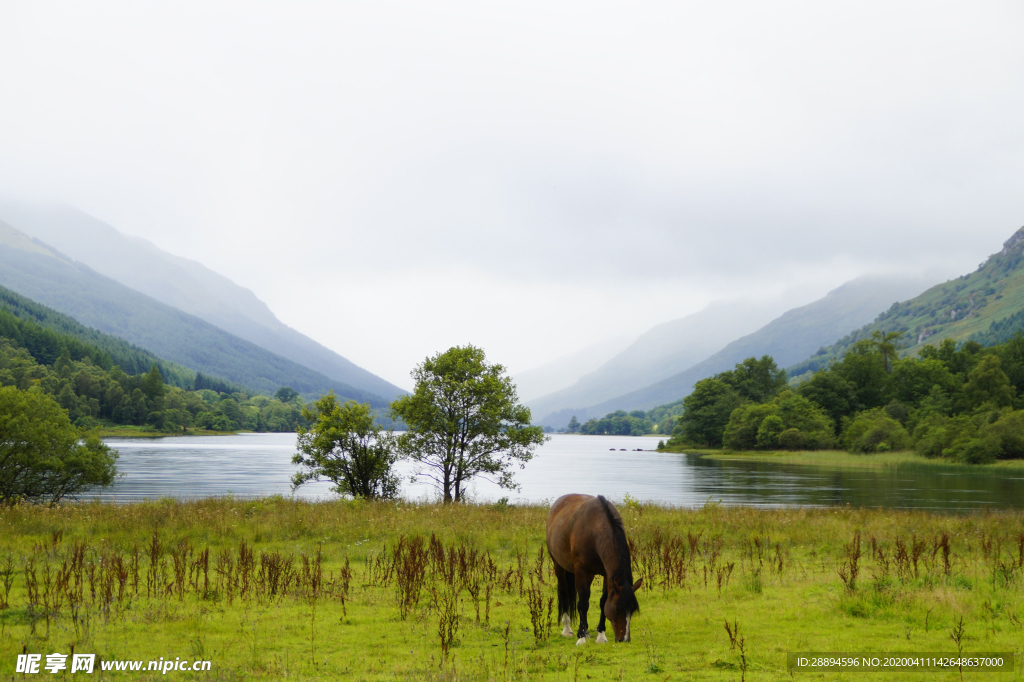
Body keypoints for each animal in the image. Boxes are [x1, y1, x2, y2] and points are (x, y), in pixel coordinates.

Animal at [544, 493, 638, 643]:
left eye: (632, 610)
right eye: (618, 608)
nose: (624, 639)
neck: (594, 530)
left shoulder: (607, 574)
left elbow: (603, 601)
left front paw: (600, 635)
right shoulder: (581, 571)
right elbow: (582, 603)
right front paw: (581, 638)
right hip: (560, 566)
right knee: (564, 592)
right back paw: (568, 629)